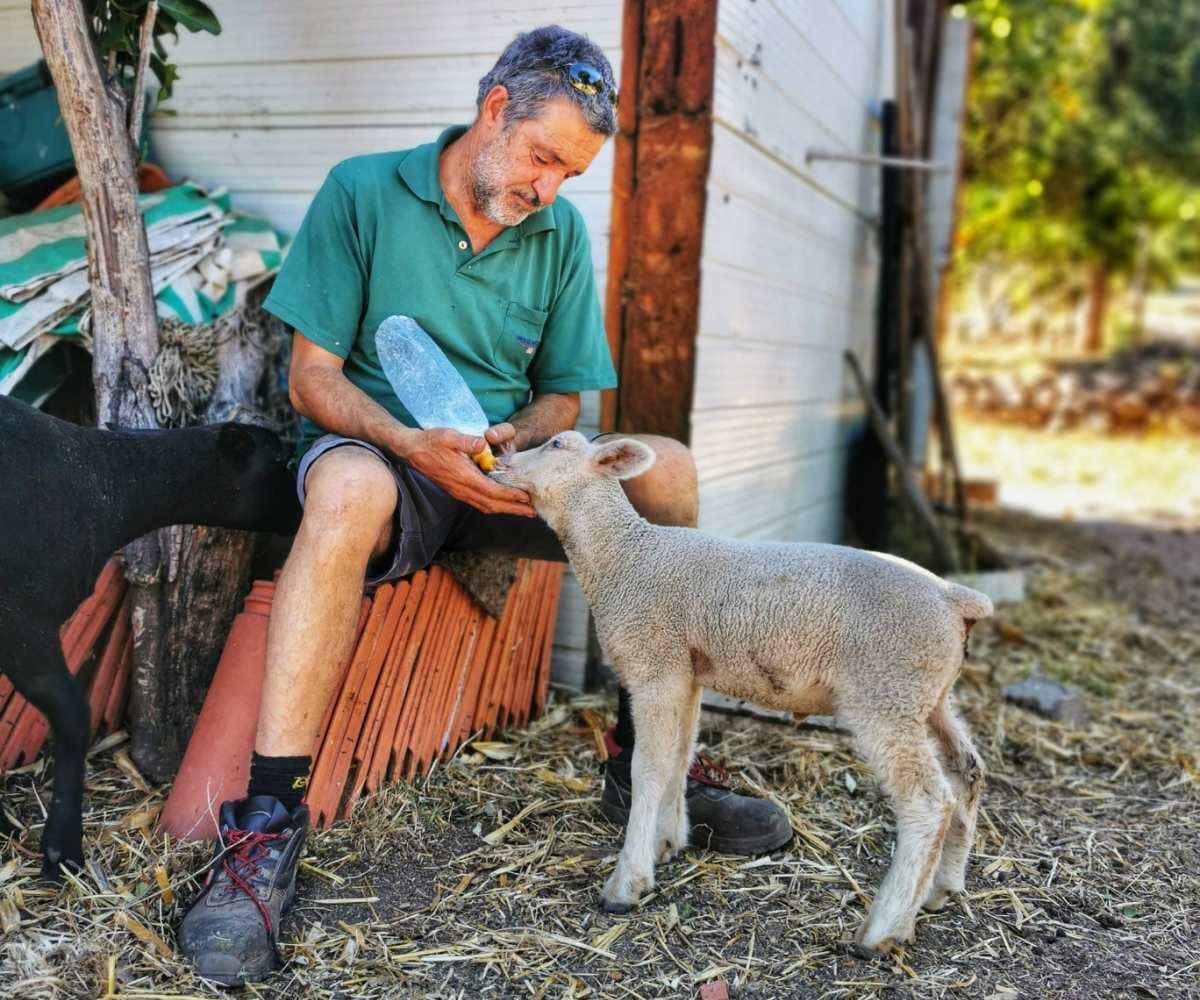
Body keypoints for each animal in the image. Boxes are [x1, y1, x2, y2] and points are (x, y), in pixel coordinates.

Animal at [0, 395, 300, 877]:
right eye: (280, 460)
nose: (302, 508)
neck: (110, 484)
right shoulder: (24, 623)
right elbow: (74, 715)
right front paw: (62, 849)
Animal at [492, 431, 993, 955]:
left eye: (556, 445)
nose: (500, 459)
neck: (625, 556)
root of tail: (954, 599)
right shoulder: (687, 673)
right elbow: (679, 757)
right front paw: (666, 843)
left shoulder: (654, 664)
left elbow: (647, 768)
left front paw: (628, 881)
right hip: (927, 695)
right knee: (968, 774)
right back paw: (941, 889)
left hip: (886, 693)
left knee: (927, 802)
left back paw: (884, 929)